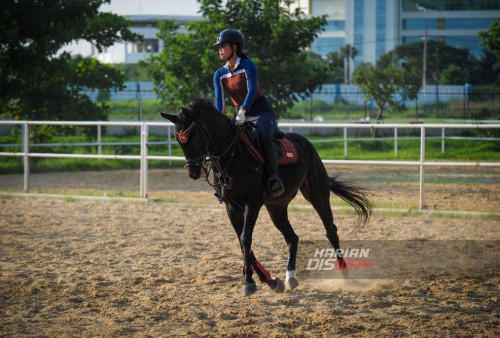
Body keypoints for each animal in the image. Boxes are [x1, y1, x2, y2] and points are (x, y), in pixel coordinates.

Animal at [161, 97, 372, 296]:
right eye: (178, 139)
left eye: (191, 136)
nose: (193, 172)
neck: (232, 156)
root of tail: (306, 144)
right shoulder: (232, 207)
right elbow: (241, 242)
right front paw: (269, 280)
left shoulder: (253, 203)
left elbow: (246, 238)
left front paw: (249, 282)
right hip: (276, 207)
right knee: (292, 237)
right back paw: (290, 277)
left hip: (317, 195)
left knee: (331, 231)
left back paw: (345, 276)